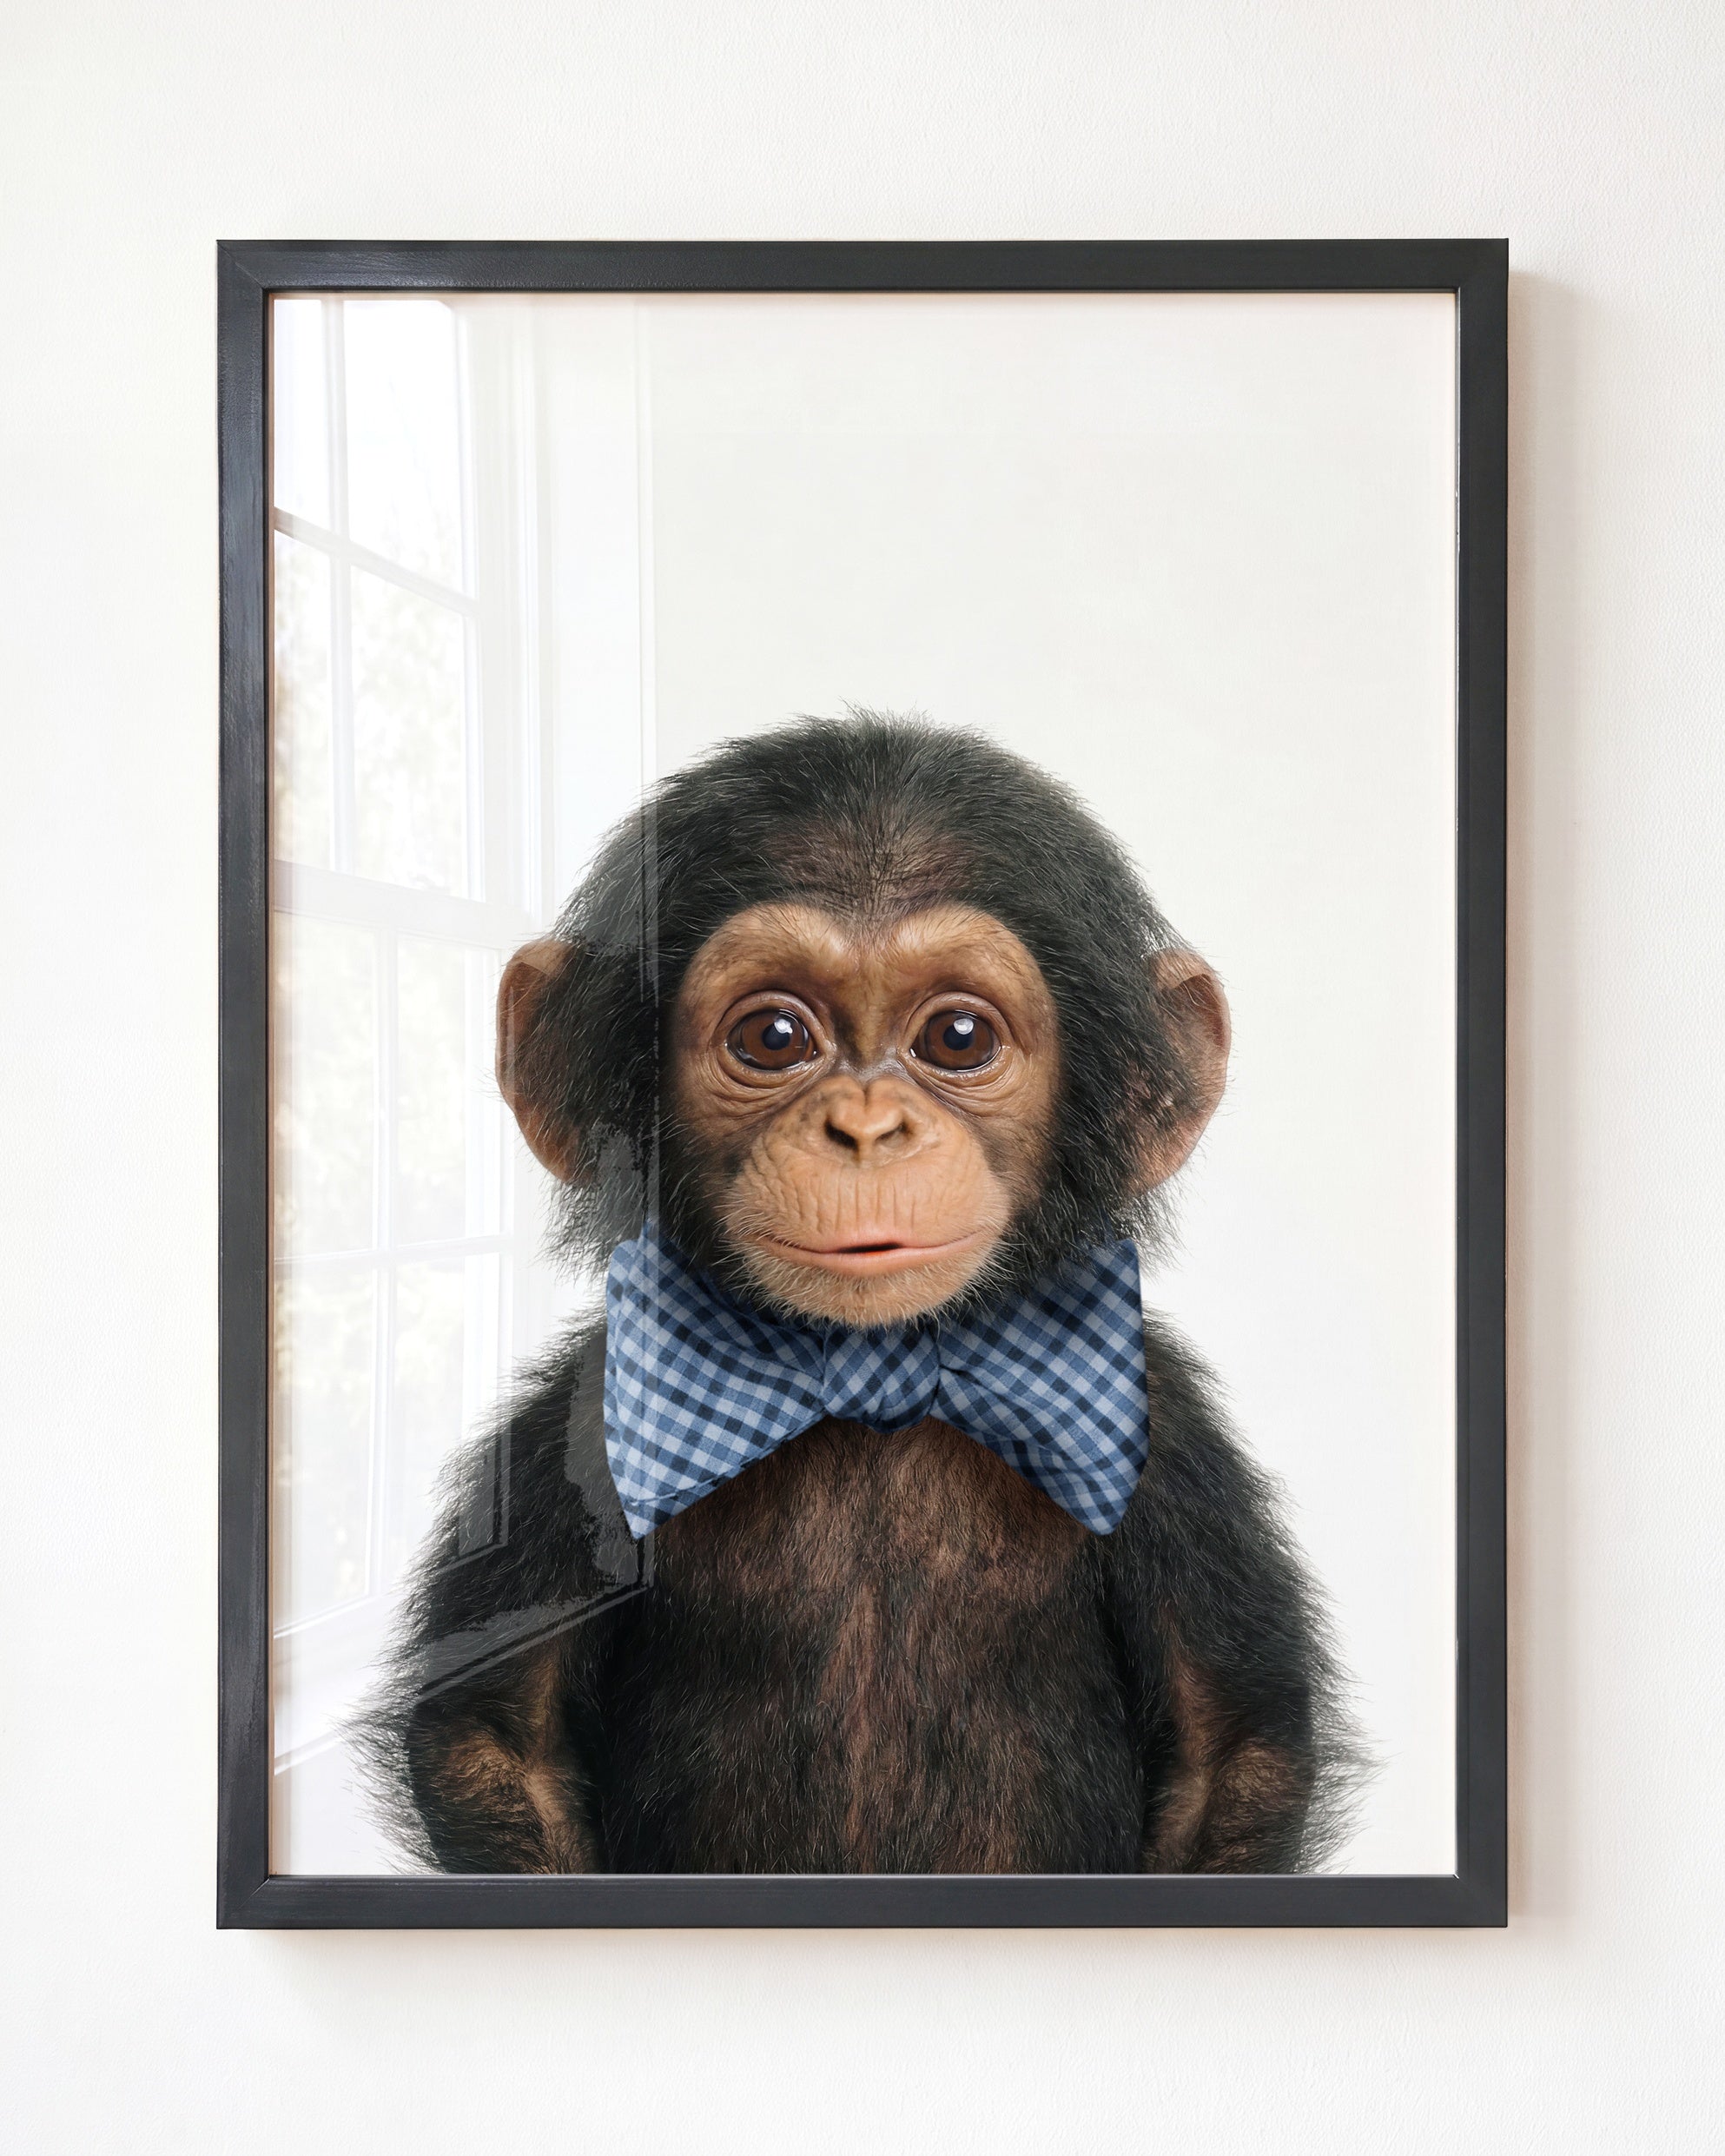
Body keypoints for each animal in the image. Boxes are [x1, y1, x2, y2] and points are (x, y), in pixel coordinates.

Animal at [359, 713, 1362, 1875]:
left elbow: (1229, 1746)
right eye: (773, 1037)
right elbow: (496, 1735)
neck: (869, 1374)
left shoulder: (1172, 1442)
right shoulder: (576, 1419)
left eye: (958, 1038)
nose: (868, 1127)